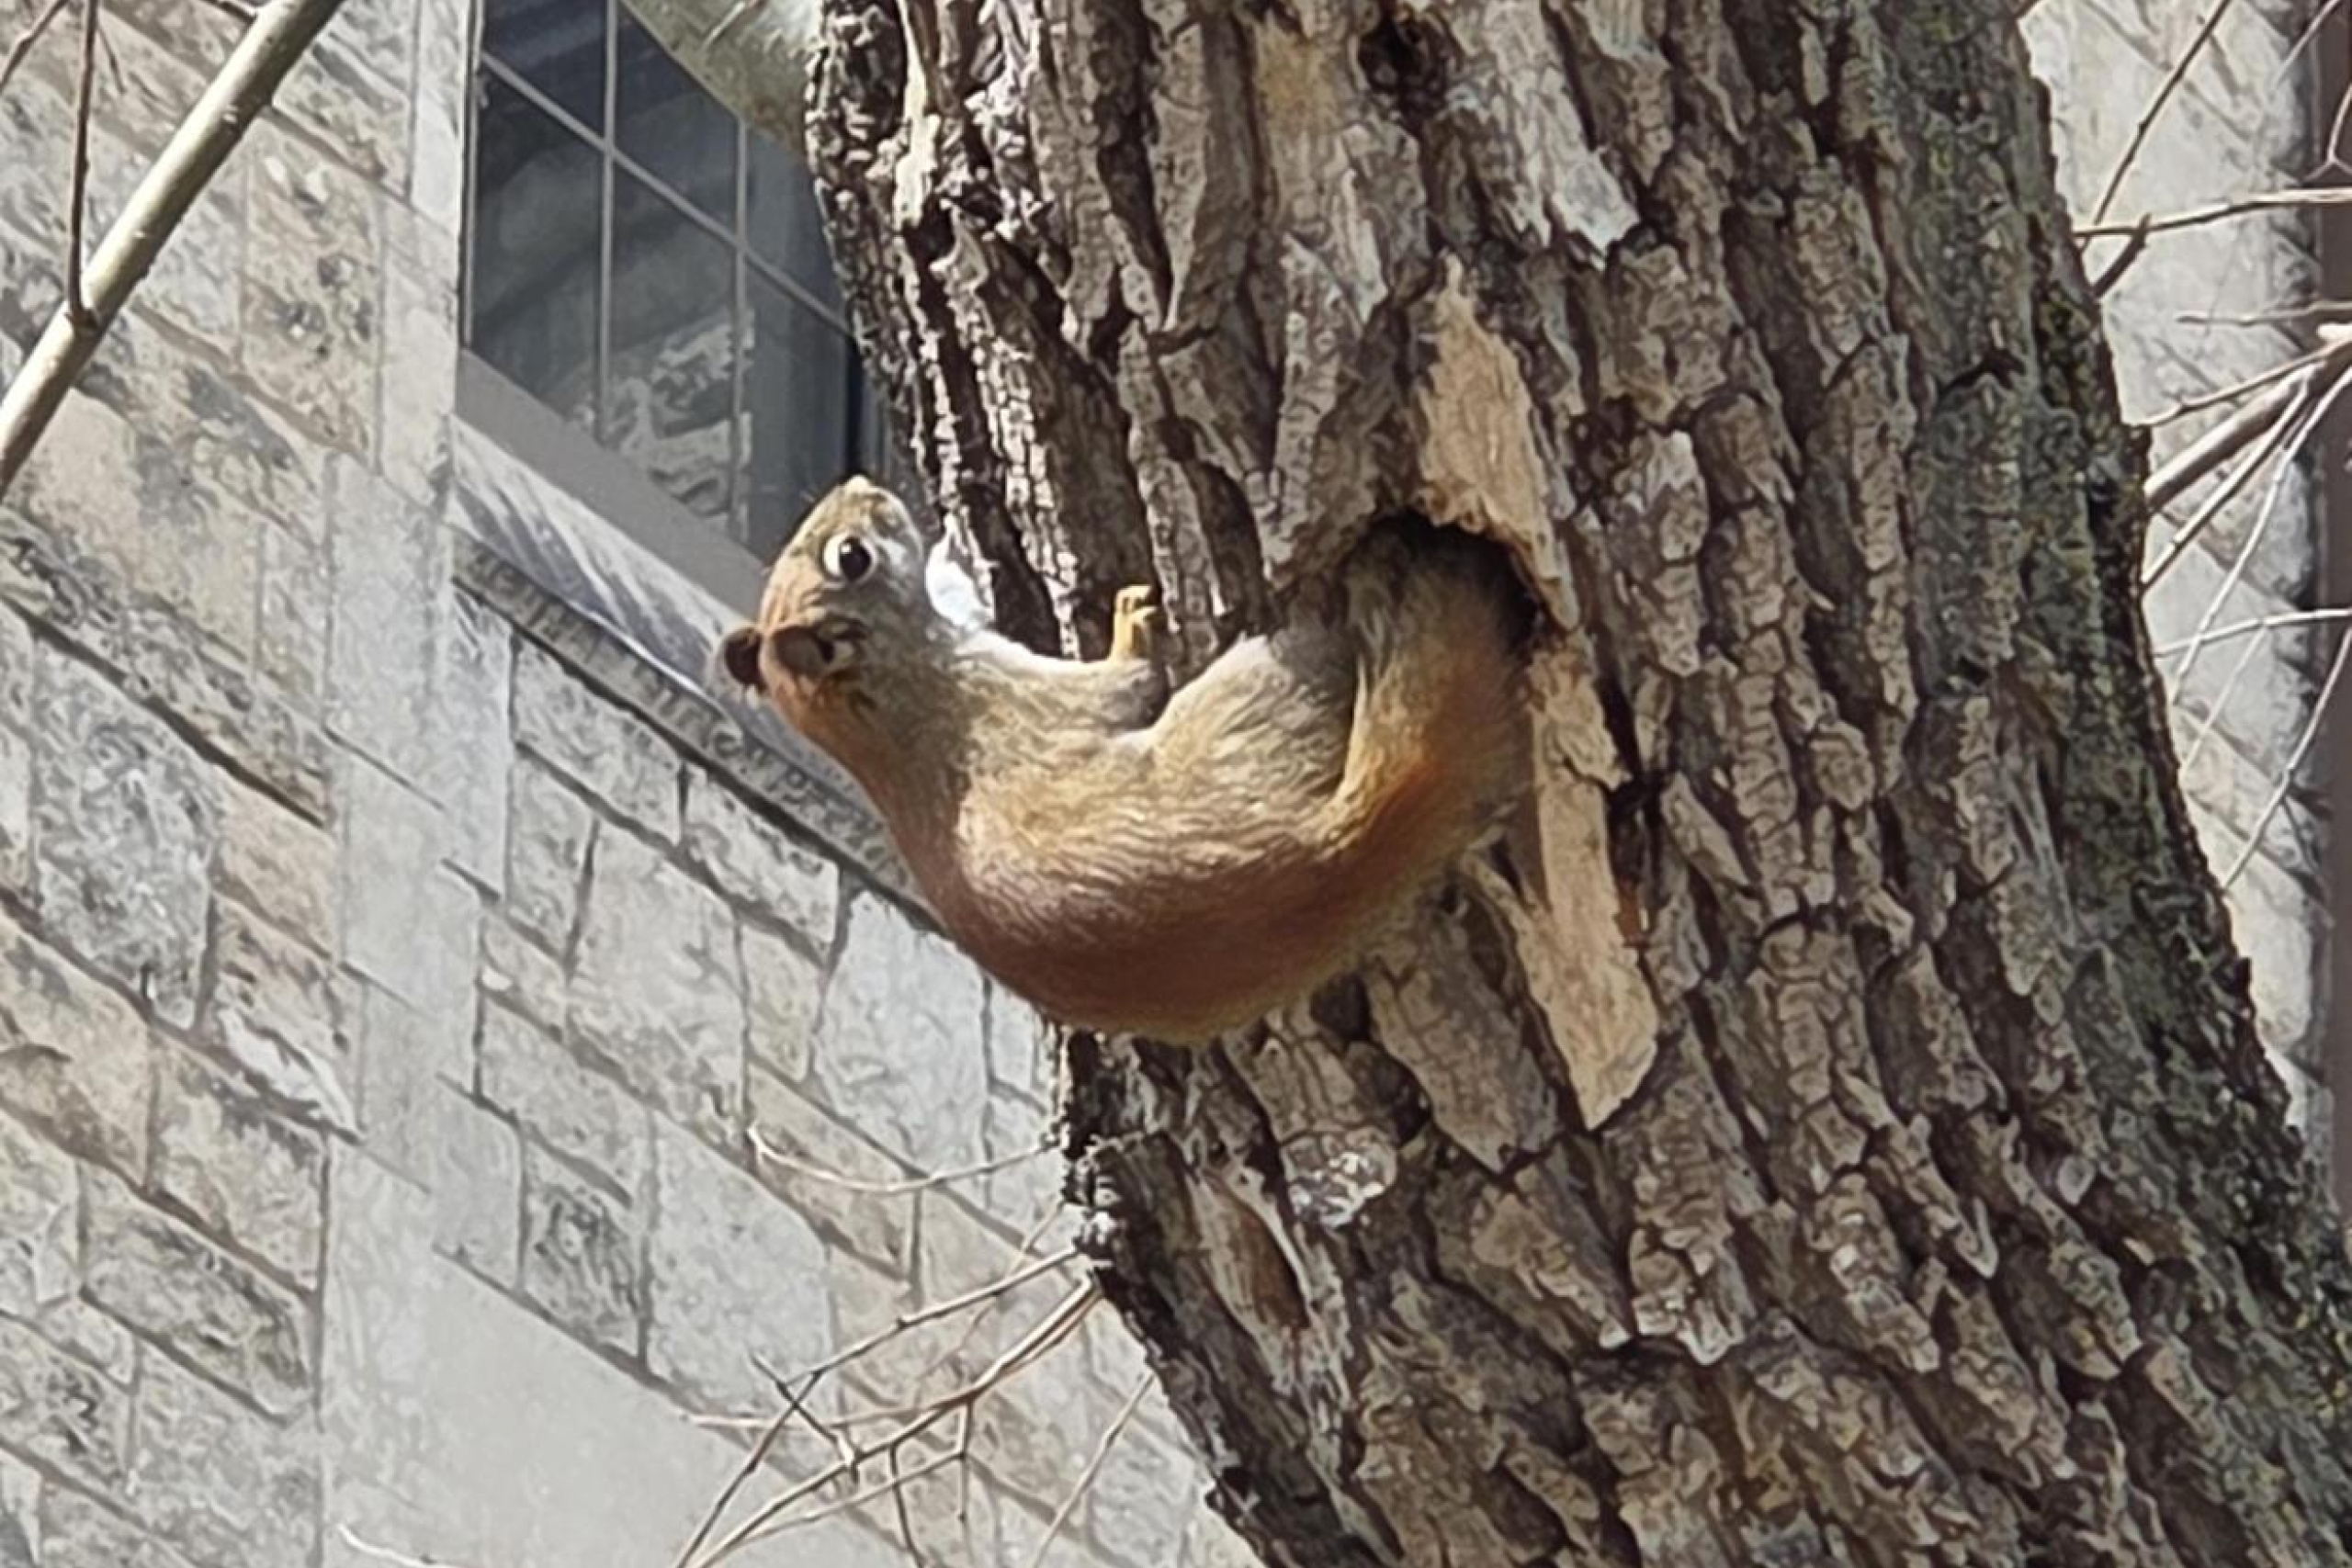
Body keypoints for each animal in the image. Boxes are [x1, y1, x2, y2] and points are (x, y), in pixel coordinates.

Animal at [718, 476, 1533, 1042]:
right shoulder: (1023, 698)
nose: (862, 485)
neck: (880, 718)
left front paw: (953, 540)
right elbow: (1127, 684)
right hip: (1259, 693)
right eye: (850, 559)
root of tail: (1324, 856)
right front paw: (1129, 625)